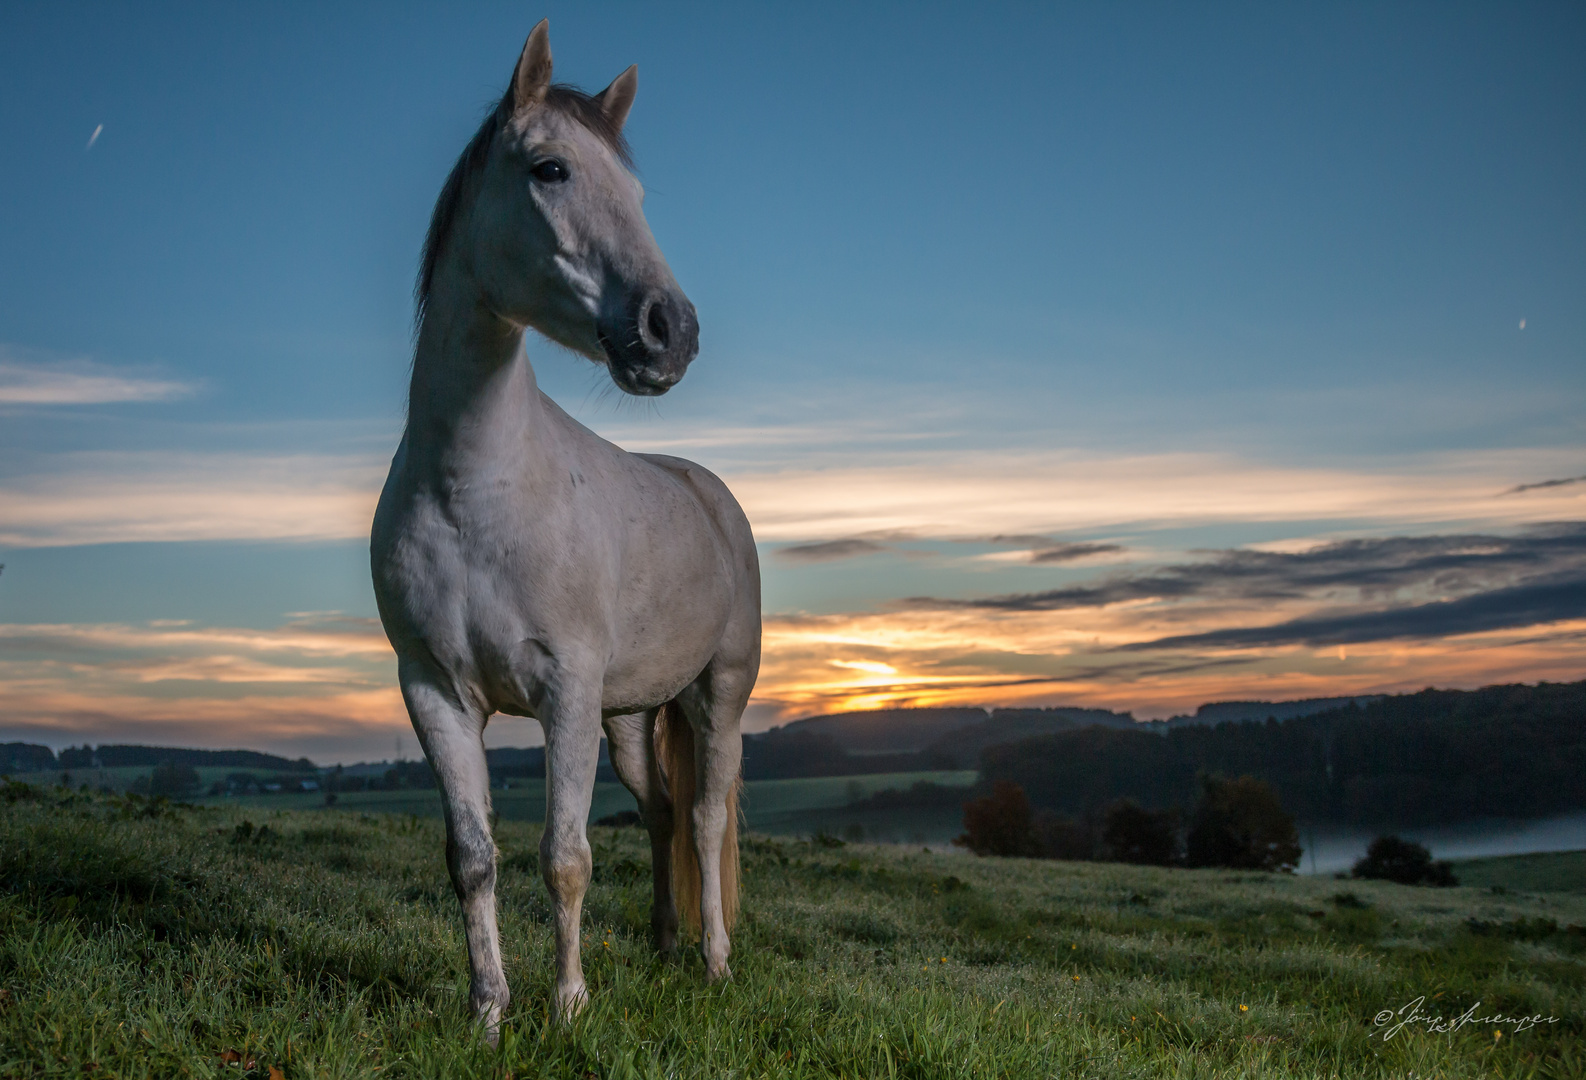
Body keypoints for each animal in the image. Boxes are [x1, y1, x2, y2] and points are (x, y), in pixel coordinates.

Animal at [374, 21, 764, 1034]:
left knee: (704, 817)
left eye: (635, 192)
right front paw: (488, 1013)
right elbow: (473, 859)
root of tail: (709, 492)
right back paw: (664, 946)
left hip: (717, 695)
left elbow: (566, 857)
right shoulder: (435, 692)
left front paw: (569, 1006)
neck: (475, 488)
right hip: (629, 718)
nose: (672, 331)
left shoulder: (566, 694)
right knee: (664, 814)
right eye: (549, 169)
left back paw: (715, 963)